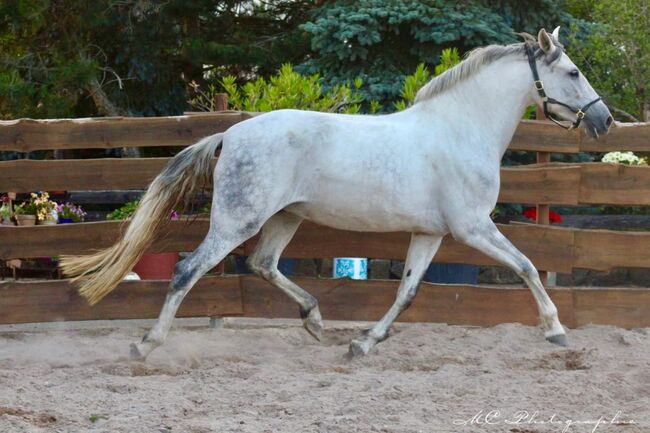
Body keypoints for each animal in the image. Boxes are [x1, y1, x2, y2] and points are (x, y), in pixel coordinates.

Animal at [59, 27, 608, 358]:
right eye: (573, 72)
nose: (603, 120)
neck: (461, 128)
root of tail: (230, 134)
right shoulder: (473, 227)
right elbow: (527, 266)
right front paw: (556, 331)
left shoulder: (431, 233)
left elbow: (408, 290)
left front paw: (364, 343)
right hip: (239, 219)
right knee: (188, 269)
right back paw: (147, 344)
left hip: (286, 217)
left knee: (261, 264)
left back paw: (316, 321)